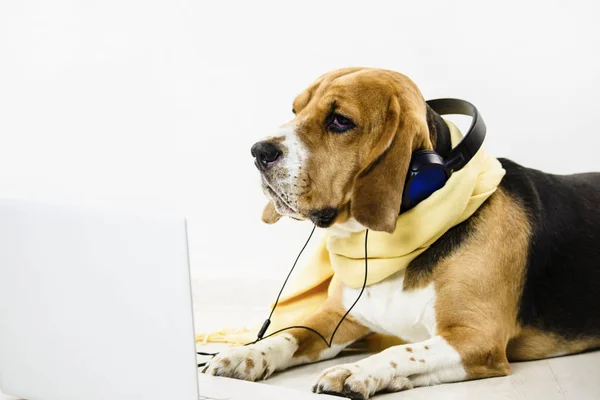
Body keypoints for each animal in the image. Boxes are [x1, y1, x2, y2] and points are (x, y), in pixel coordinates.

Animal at [203, 67, 600, 398]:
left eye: (340, 121)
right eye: (296, 109)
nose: (258, 151)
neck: (377, 245)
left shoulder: (475, 339)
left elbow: (402, 349)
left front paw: (356, 370)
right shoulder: (337, 317)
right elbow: (288, 334)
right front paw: (245, 353)